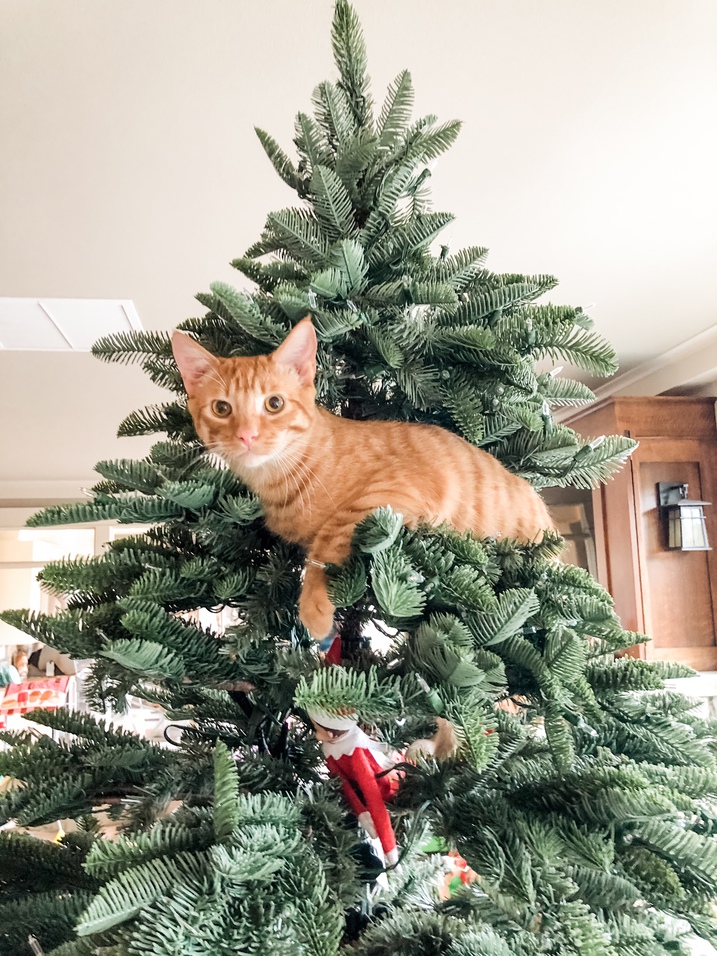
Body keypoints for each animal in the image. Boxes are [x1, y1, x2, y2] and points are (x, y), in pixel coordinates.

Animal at [172, 318, 552, 640]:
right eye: (222, 409)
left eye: (274, 404)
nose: (247, 435)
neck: (281, 475)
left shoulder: (401, 486)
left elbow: (330, 534)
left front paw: (313, 605)